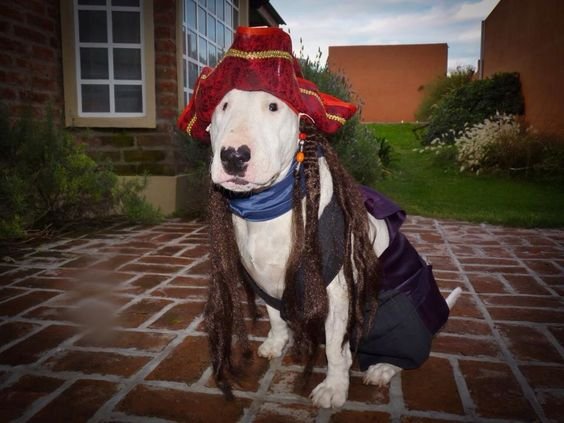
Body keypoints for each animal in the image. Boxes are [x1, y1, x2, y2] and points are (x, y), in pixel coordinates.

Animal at [207, 88, 462, 408]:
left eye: (273, 106)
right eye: (223, 106)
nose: (233, 156)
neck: (266, 207)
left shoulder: (337, 295)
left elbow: (334, 350)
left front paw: (334, 387)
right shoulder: (264, 280)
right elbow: (275, 317)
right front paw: (276, 343)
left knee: (407, 350)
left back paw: (382, 367)